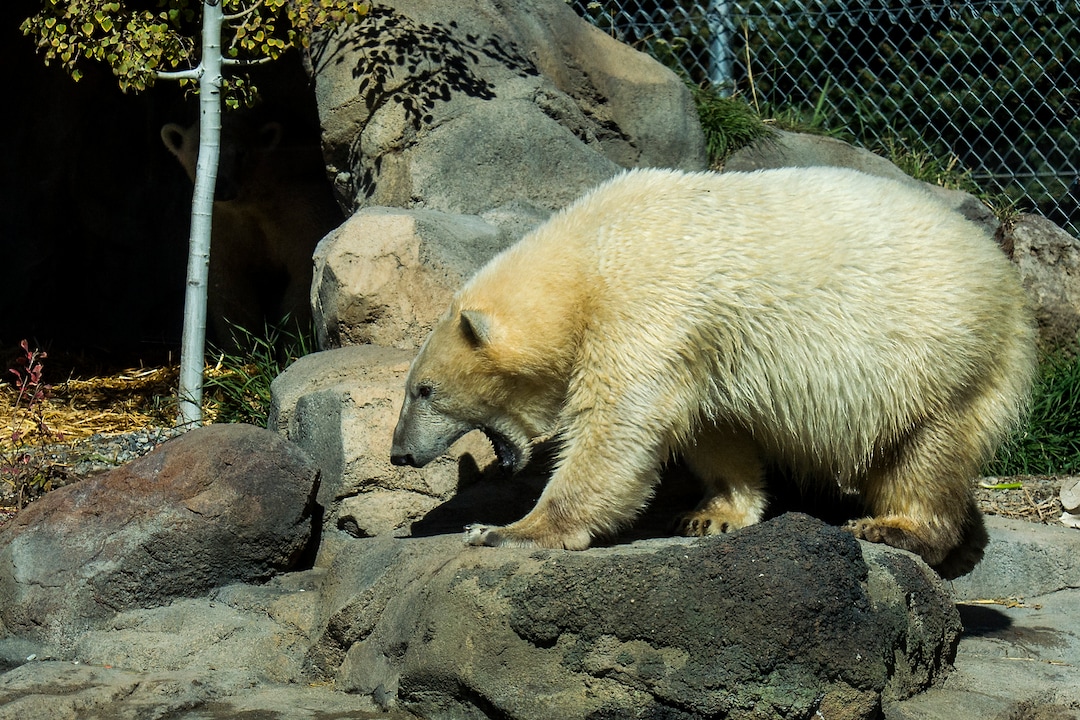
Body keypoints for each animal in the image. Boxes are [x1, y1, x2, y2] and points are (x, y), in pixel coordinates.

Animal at [390, 166, 1037, 579]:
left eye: (425, 390)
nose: (399, 453)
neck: (587, 254)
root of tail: (1010, 285)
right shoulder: (699, 341)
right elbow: (710, 426)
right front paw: (712, 514)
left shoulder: (646, 302)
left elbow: (619, 423)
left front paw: (503, 530)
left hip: (942, 349)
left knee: (925, 447)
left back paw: (895, 527)